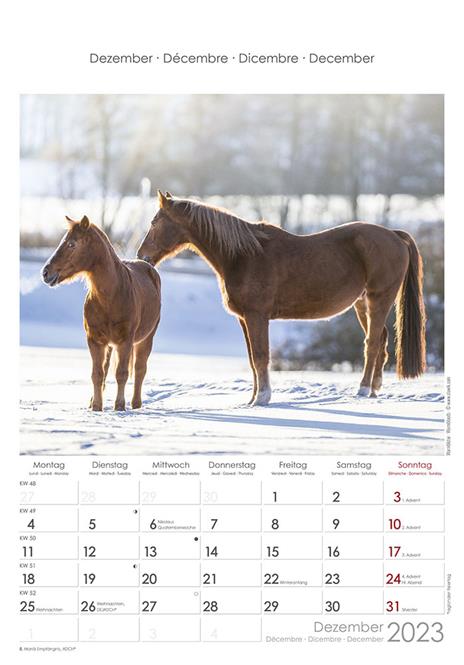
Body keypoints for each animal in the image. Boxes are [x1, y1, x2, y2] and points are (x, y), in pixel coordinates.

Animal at [42, 215, 161, 411]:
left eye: (72, 244)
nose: (45, 273)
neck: (111, 297)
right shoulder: (95, 340)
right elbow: (97, 374)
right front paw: (96, 406)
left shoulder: (125, 341)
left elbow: (122, 373)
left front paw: (119, 406)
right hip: (109, 345)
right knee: (106, 369)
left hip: (145, 339)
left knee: (139, 370)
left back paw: (136, 404)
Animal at [137, 191, 426, 406]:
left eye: (154, 222)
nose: (142, 256)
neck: (242, 255)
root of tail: (394, 234)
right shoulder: (244, 319)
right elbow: (252, 359)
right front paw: (252, 399)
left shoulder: (257, 316)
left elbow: (261, 356)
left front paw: (263, 398)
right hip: (362, 304)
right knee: (382, 340)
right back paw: (374, 389)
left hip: (379, 299)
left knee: (372, 343)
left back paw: (363, 389)